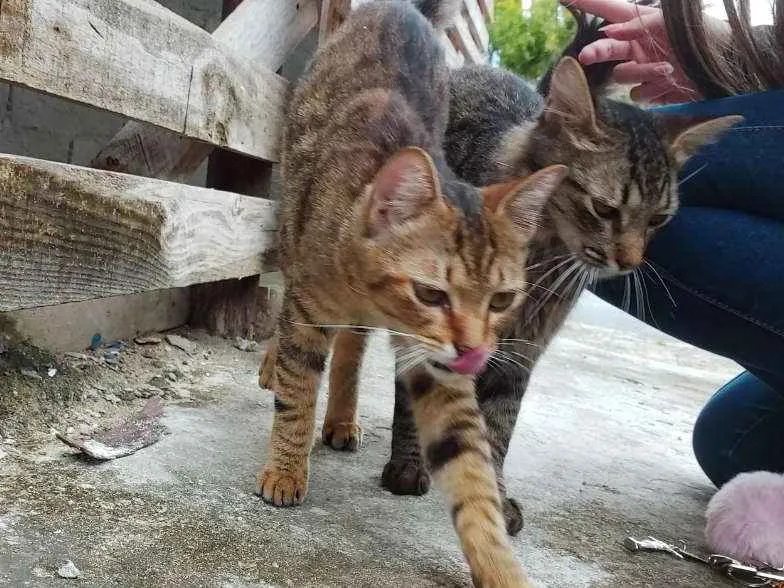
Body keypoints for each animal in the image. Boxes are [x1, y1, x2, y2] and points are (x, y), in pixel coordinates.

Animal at [257, 0, 566, 585]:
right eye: (431, 294)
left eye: (501, 300)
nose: (474, 353)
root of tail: (402, 9)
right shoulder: (306, 313)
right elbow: (297, 394)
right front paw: (284, 470)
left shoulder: (437, 368)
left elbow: (472, 472)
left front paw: (498, 565)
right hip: (289, 223)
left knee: (351, 352)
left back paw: (341, 419)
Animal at [373, 8, 743, 536]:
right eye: (604, 209)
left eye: (658, 220)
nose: (629, 261)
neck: (541, 260)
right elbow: (418, 398)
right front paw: (408, 463)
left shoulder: (521, 356)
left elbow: (499, 427)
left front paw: (495, 494)